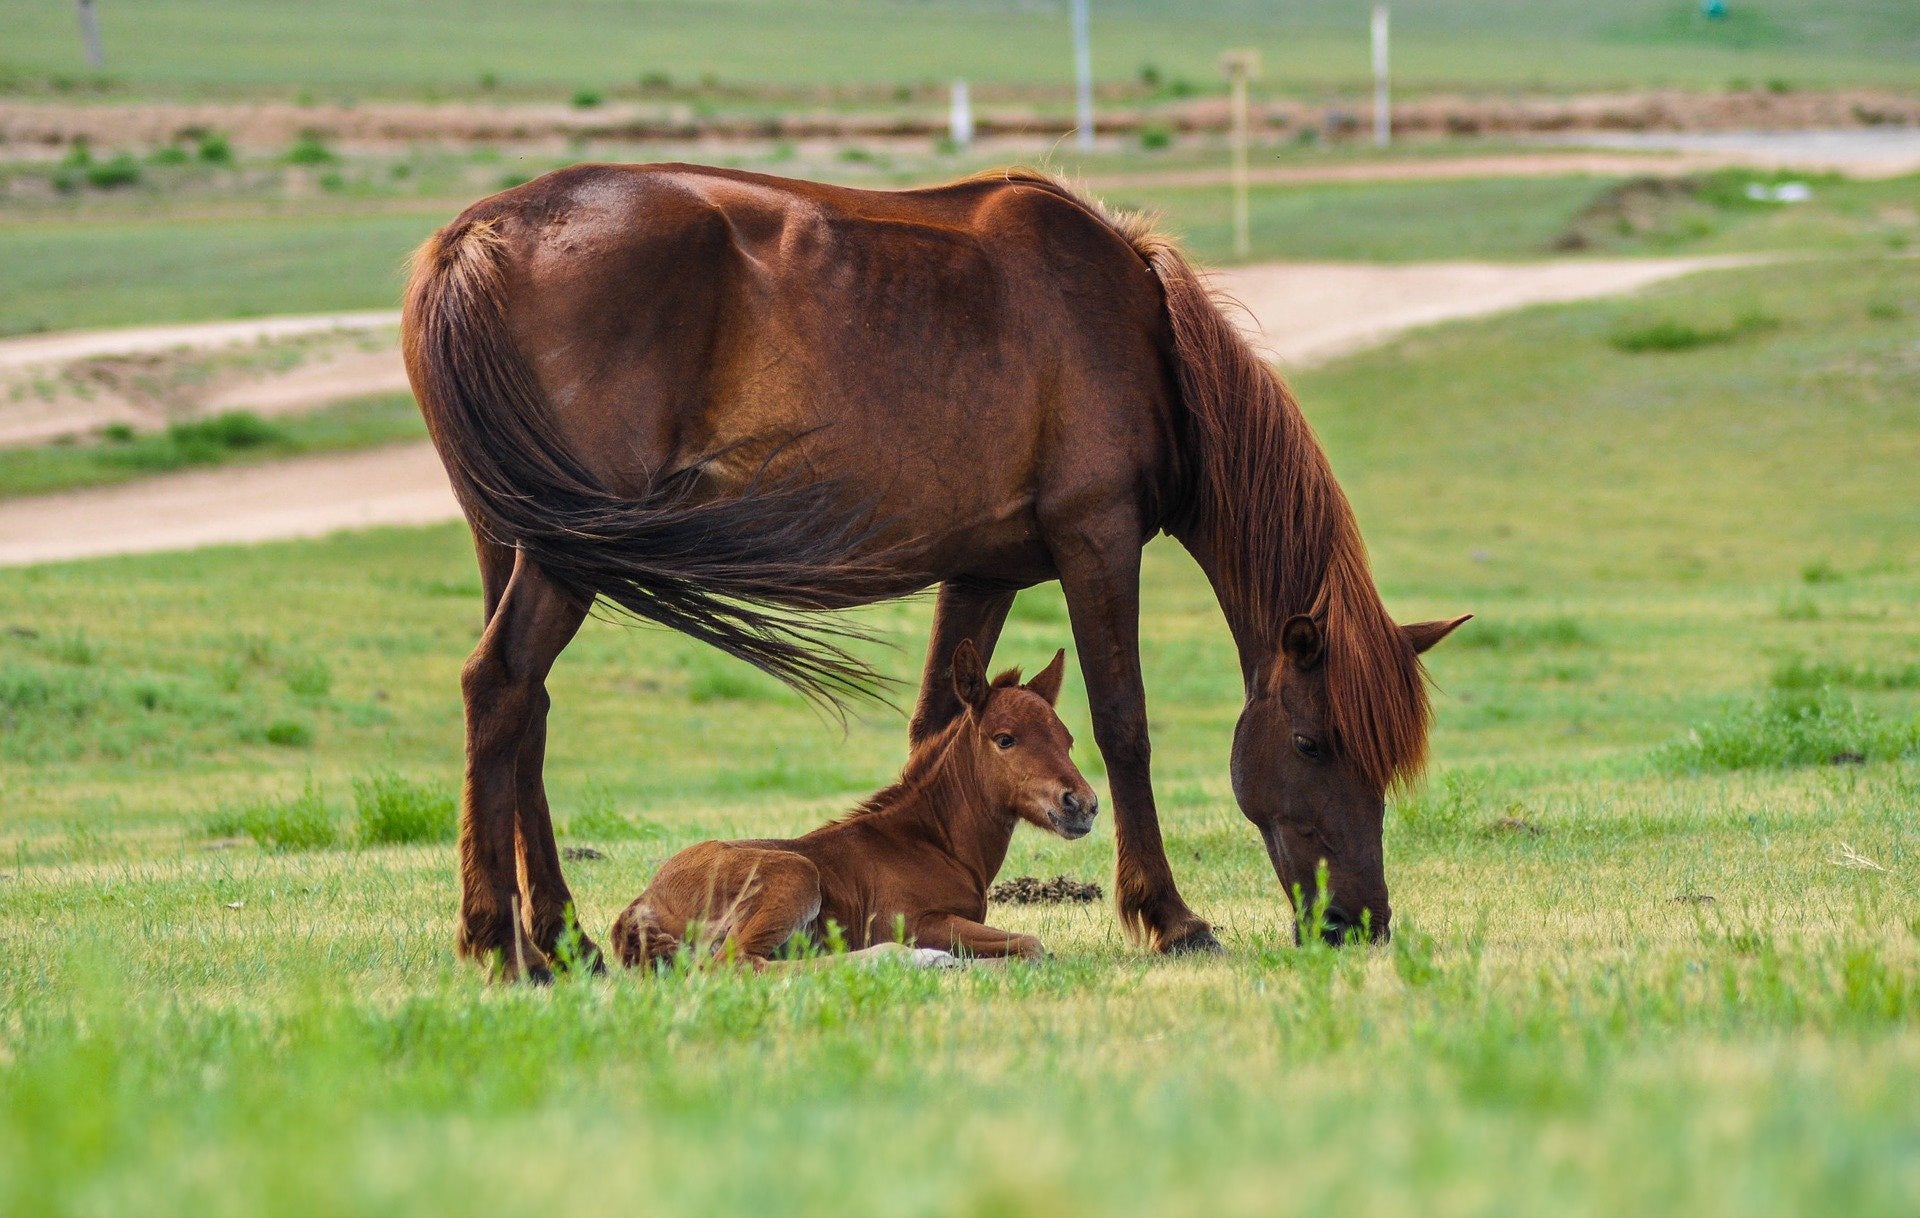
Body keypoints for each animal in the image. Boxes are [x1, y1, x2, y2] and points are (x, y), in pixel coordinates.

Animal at [610, 642, 1094, 970]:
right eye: (1005, 739)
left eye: (1067, 740)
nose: (1083, 805)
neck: (934, 843)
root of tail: (642, 904)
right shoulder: (914, 920)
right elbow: (1032, 945)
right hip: (795, 875)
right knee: (739, 963)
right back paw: (915, 959)